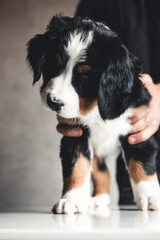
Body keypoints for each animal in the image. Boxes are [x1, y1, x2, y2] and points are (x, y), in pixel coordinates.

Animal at [26, 15, 160, 214]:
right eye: (52, 65)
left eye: (84, 76)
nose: (54, 102)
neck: (96, 104)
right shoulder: (75, 135)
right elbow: (76, 168)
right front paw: (71, 199)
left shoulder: (138, 128)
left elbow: (143, 165)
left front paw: (150, 196)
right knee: (101, 172)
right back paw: (97, 200)